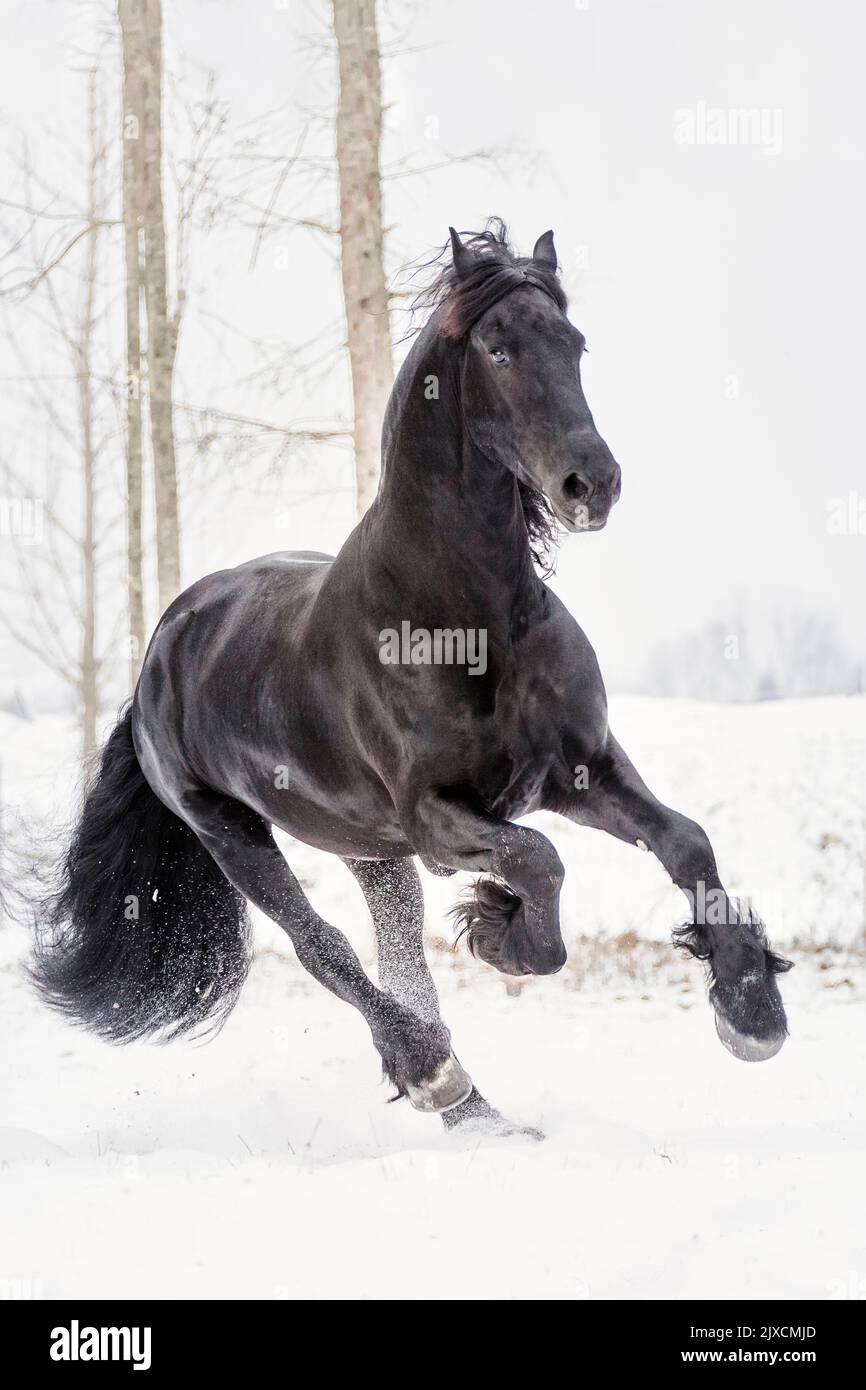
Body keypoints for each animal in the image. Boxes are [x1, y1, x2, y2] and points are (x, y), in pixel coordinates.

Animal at [33, 216, 795, 1128]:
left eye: (574, 344)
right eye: (499, 349)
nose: (593, 484)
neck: (470, 622)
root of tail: (160, 653)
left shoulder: (579, 769)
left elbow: (685, 841)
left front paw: (751, 1011)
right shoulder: (437, 815)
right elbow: (538, 860)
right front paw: (504, 933)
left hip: (370, 852)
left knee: (403, 962)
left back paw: (484, 1117)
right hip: (231, 832)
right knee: (324, 949)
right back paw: (433, 1072)